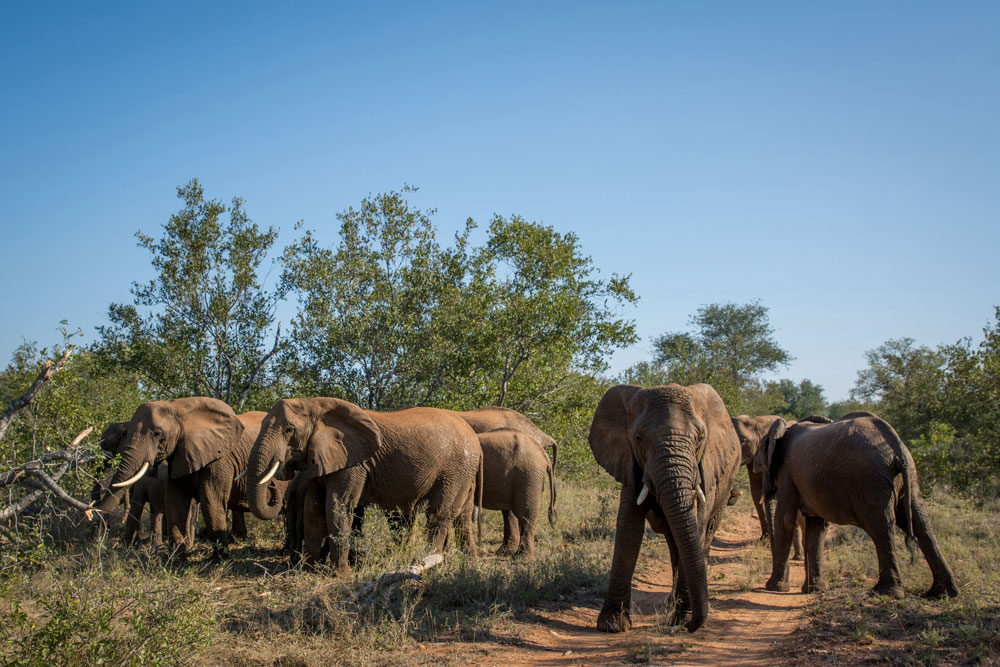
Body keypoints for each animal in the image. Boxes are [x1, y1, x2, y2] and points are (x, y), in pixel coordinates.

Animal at [94, 400, 258, 552]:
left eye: (157, 434)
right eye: (127, 434)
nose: (100, 523)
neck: (178, 408)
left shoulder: (219, 459)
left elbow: (212, 501)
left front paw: (218, 558)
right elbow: (175, 500)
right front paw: (177, 558)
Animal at [249, 400, 484, 572]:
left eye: (289, 429)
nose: (272, 484)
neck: (315, 405)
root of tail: (476, 441)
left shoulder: (354, 463)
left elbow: (338, 505)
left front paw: (340, 574)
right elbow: (313, 506)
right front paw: (307, 570)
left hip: (455, 470)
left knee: (438, 515)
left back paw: (429, 561)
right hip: (464, 472)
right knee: (462, 516)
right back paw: (469, 563)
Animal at [474, 430, 556, 560]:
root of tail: (544, 455)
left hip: (528, 476)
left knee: (525, 515)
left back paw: (523, 559)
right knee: (510, 512)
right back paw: (507, 553)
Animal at [584, 384, 744, 636]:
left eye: (700, 438)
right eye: (638, 438)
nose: (687, 627)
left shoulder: (705, 468)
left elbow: (696, 527)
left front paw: (682, 618)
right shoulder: (631, 464)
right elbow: (629, 532)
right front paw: (611, 625)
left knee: (703, 535)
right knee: (675, 544)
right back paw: (672, 604)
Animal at [756, 412, 960, 600]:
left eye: (760, 466)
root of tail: (897, 448)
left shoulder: (787, 473)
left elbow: (785, 521)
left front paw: (774, 588)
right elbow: (817, 527)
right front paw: (814, 590)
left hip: (870, 480)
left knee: (881, 526)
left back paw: (884, 592)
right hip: (908, 475)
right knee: (921, 523)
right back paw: (942, 593)